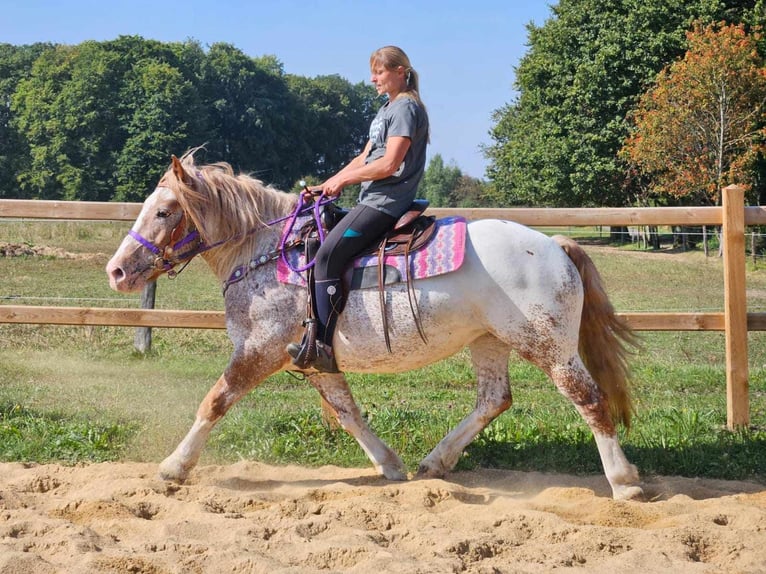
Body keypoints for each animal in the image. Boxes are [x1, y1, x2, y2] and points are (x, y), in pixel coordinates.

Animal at [106, 151, 648, 502]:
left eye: (164, 211)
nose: (116, 271)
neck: (268, 255)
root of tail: (555, 245)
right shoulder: (315, 360)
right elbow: (349, 414)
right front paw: (389, 465)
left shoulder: (259, 350)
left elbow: (214, 401)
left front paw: (173, 468)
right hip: (489, 342)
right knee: (494, 400)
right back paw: (435, 462)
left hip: (549, 347)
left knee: (589, 400)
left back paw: (624, 482)